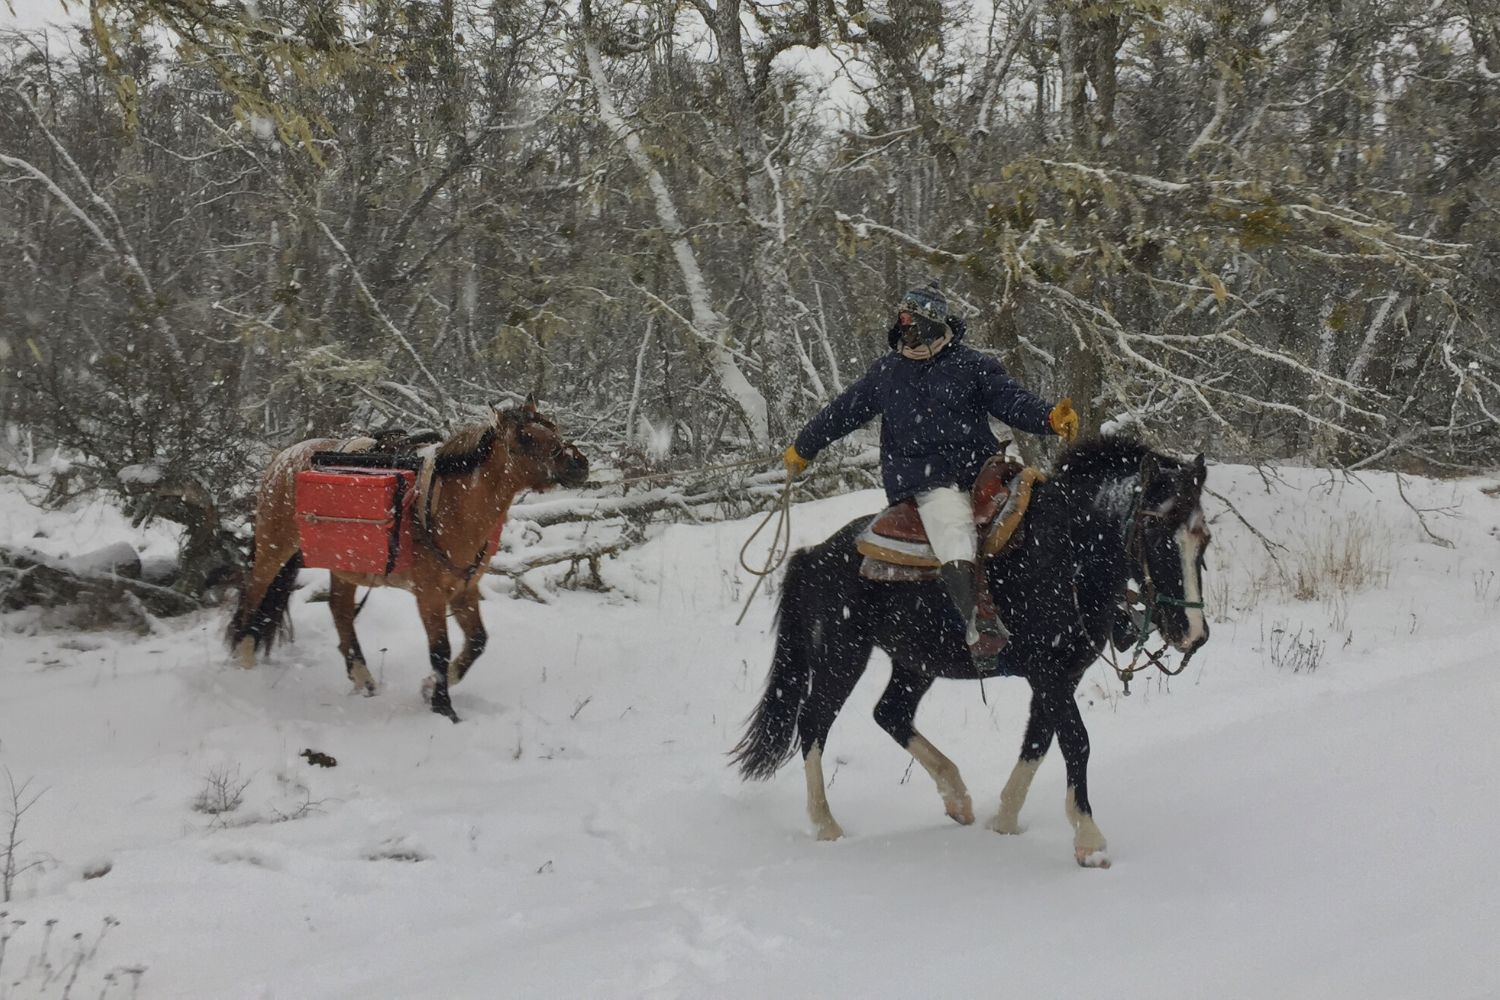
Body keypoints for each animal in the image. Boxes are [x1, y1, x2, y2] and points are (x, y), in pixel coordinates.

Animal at [225, 398, 588, 719]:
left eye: (553, 426)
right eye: (526, 437)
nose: (579, 462)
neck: (450, 506)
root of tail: (283, 457)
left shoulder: (464, 589)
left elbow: (477, 642)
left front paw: (433, 687)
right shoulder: (429, 596)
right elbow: (440, 650)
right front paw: (443, 706)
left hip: (346, 564)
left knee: (340, 611)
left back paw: (362, 677)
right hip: (274, 548)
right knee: (254, 596)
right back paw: (245, 660)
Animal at [732, 437, 1212, 869]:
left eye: (1203, 540)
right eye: (1156, 534)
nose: (1193, 634)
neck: (1066, 554)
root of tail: (814, 553)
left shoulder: (1063, 676)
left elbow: (1037, 741)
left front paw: (1004, 822)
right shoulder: (1049, 674)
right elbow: (1076, 741)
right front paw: (1090, 842)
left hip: (915, 662)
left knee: (890, 712)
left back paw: (957, 798)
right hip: (842, 654)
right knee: (814, 723)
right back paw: (826, 824)